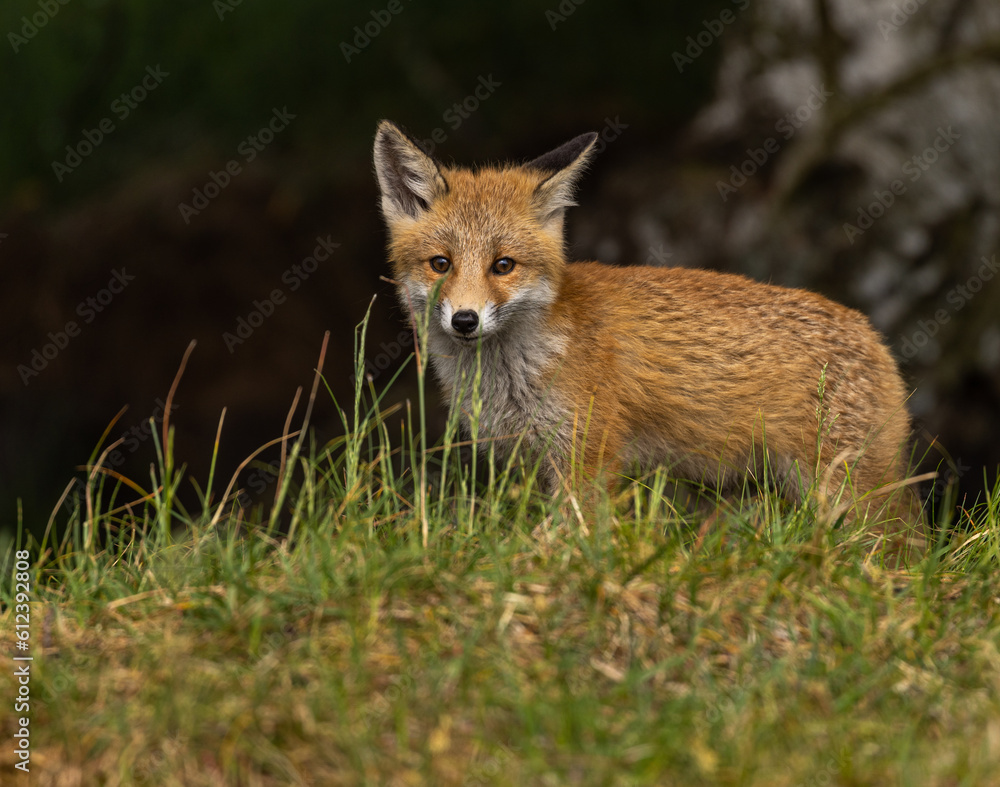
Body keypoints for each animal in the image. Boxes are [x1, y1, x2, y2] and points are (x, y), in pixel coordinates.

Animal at [372, 119, 927, 561]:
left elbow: (574, 536)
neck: (517, 374)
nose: (465, 320)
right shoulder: (534, 464)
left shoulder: (588, 456)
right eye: (441, 264)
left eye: (503, 265)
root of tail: (873, 334)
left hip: (845, 492)